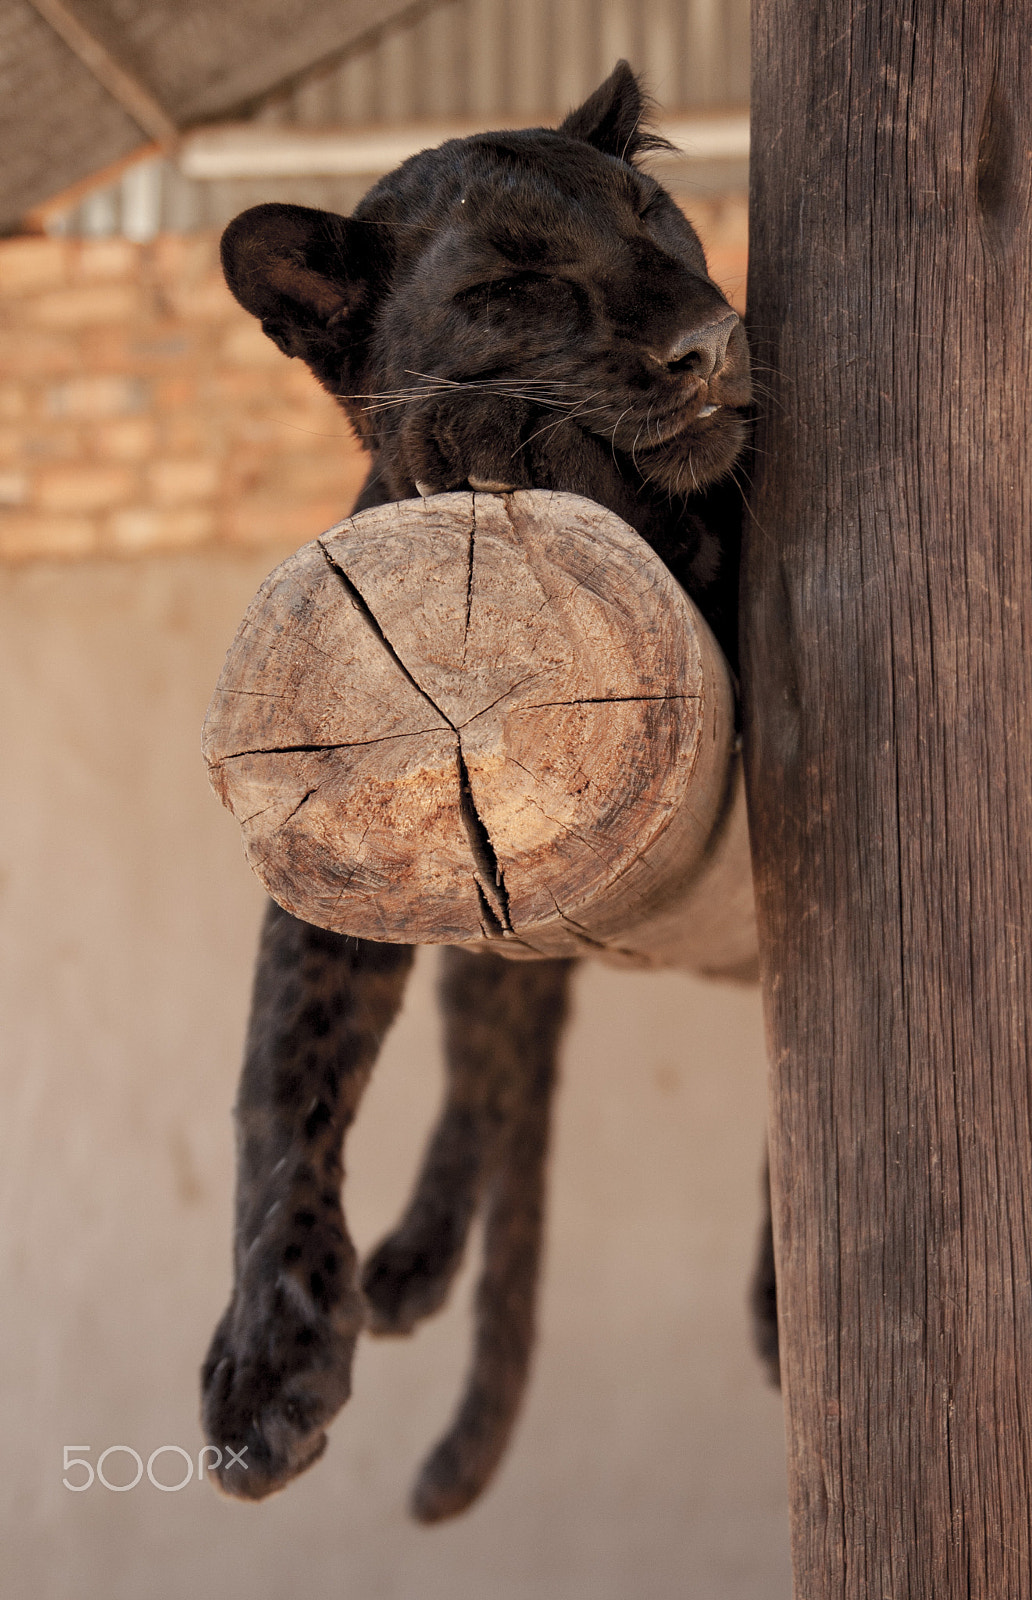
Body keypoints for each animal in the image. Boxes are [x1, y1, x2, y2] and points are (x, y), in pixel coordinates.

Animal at [201, 60, 772, 1525]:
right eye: (514, 281)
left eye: (653, 222)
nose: (709, 336)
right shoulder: (335, 857)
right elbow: (282, 1081)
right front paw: (268, 1368)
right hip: (487, 916)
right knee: (486, 1074)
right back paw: (408, 1266)